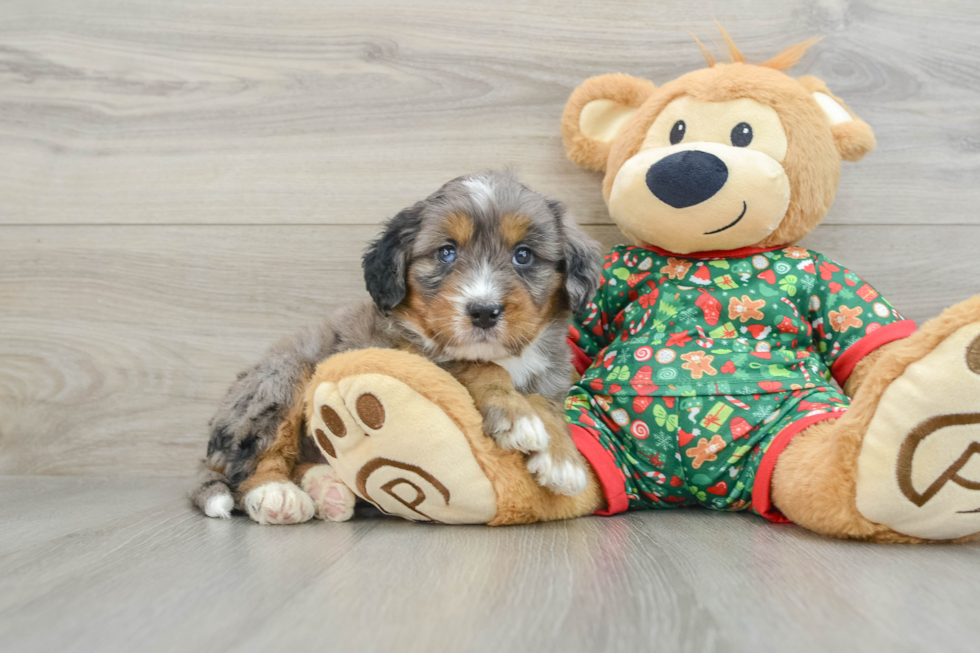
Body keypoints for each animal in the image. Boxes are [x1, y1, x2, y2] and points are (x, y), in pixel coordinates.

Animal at [189, 171, 604, 524]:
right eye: (446, 252)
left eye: (524, 255)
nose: (484, 311)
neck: (510, 355)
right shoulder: (408, 352)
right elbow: (479, 367)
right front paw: (516, 414)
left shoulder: (550, 374)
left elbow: (547, 406)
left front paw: (562, 458)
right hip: (282, 380)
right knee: (254, 463)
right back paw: (278, 495)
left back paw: (327, 489)